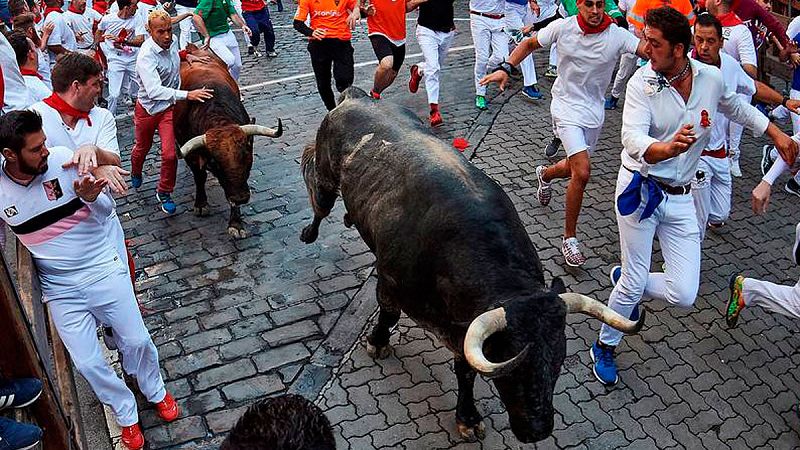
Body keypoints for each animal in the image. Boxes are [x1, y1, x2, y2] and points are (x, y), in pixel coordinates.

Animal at [173, 44, 282, 237]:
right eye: (215, 163)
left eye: (247, 157)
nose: (242, 197)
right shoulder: (192, 155)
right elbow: (199, 176)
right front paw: (201, 204)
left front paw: (236, 223)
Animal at [298, 88, 644, 442]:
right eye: (510, 362)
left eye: (558, 359)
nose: (538, 429)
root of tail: (358, 97)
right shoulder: (390, 281)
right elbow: (389, 314)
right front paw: (378, 342)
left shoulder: (463, 330)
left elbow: (465, 370)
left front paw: (467, 416)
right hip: (326, 176)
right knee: (319, 200)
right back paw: (310, 232)